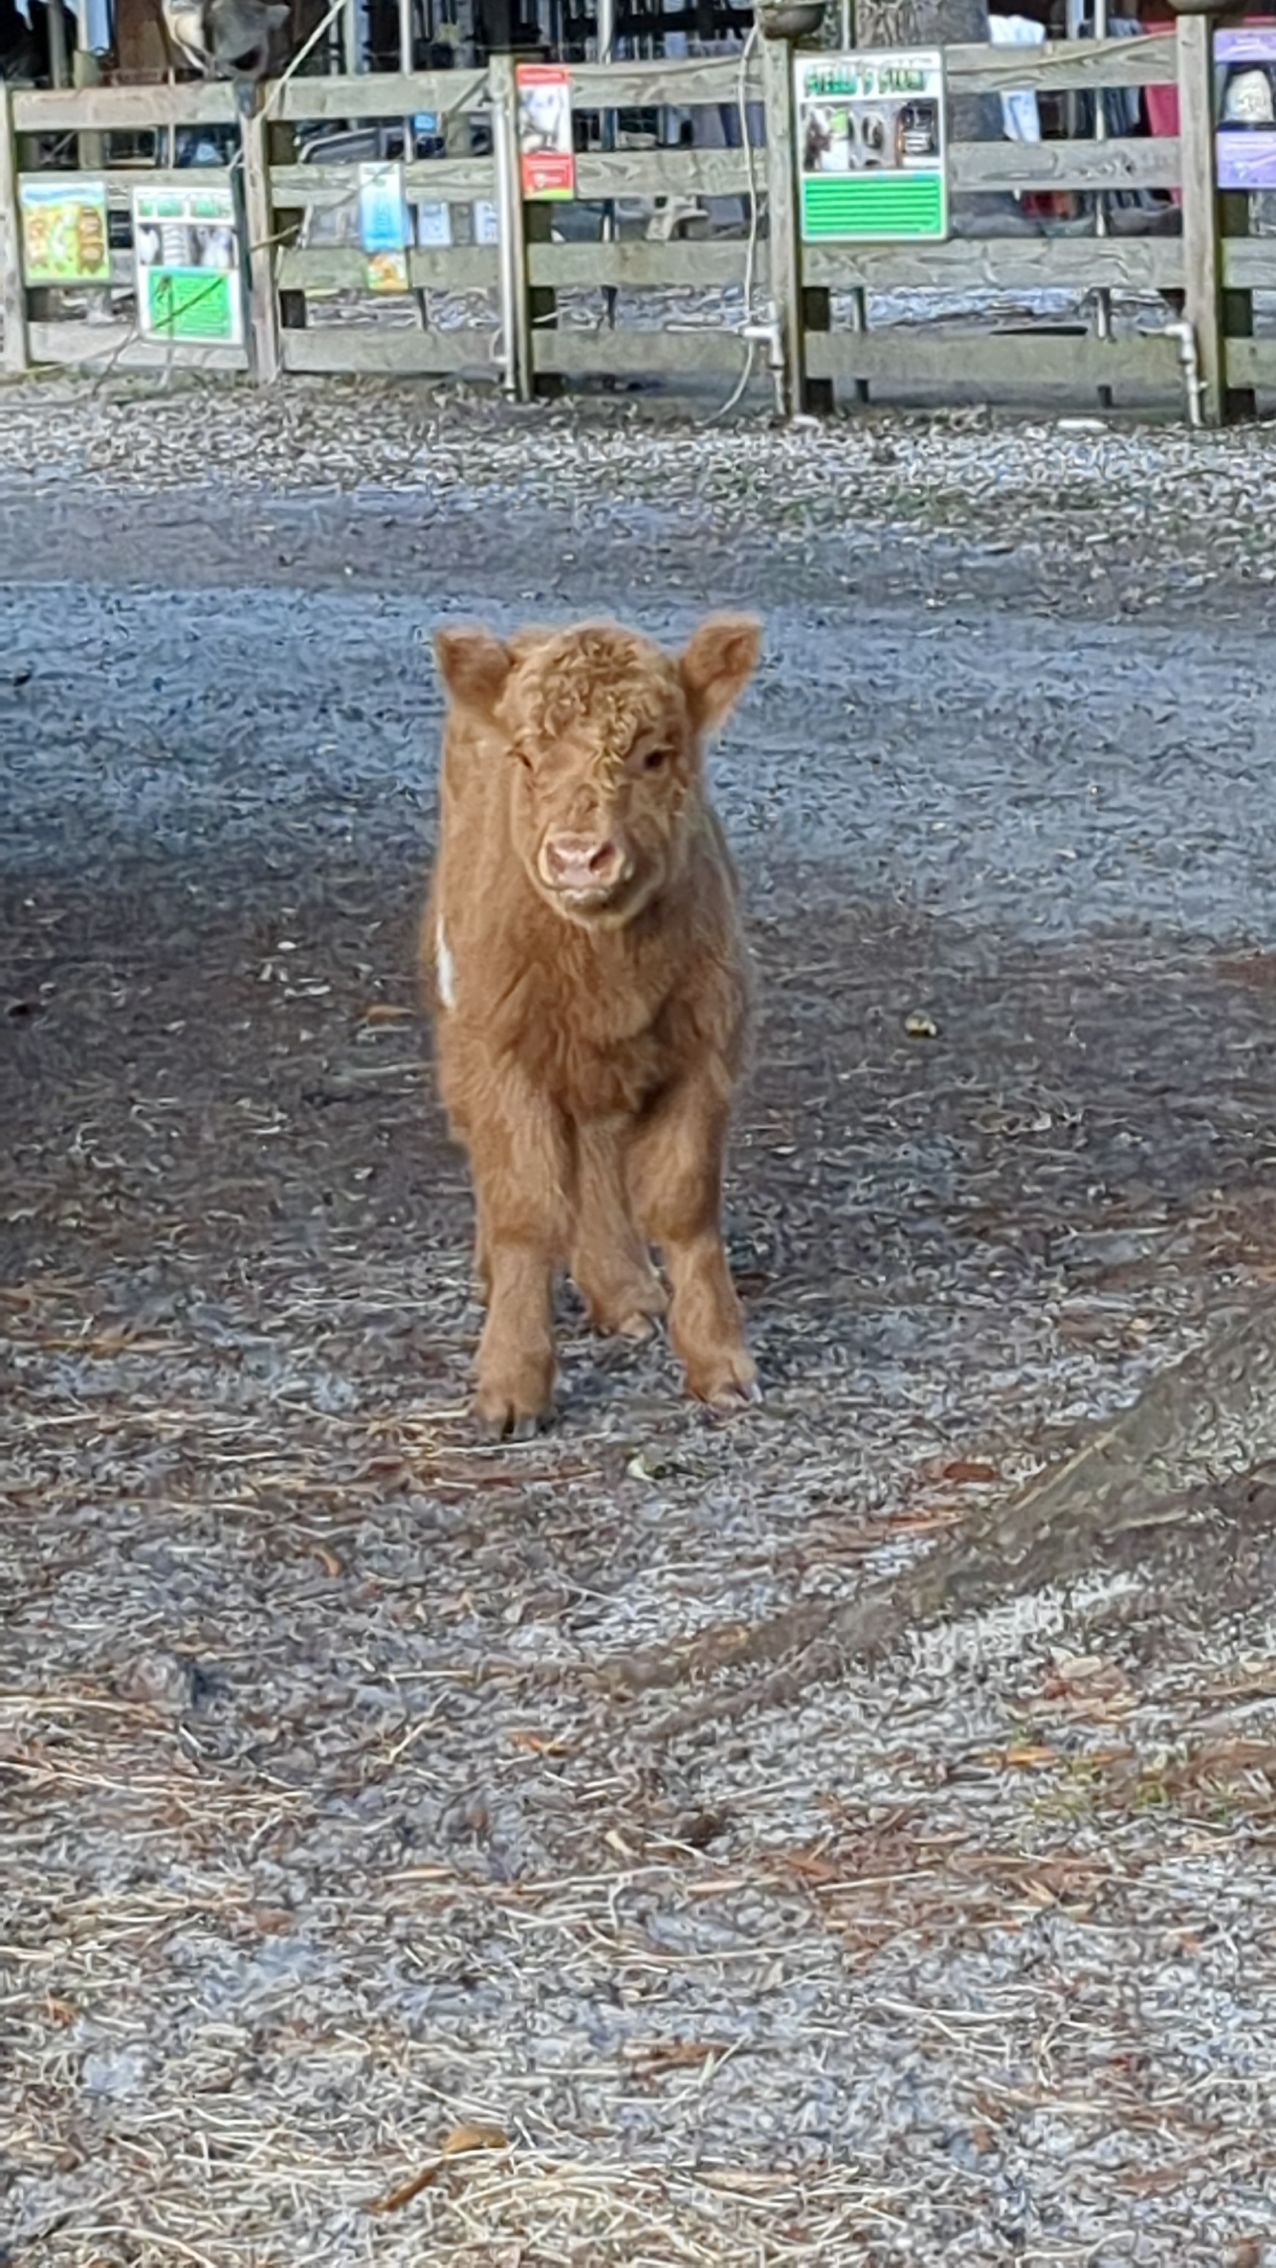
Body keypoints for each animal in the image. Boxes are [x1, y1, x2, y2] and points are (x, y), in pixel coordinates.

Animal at [424, 615, 762, 1439]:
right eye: (524, 755)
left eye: (656, 754)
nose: (579, 857)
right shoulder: (500, 1048)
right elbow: (526, 1204)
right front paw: (512, 1383)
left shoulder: (707, 1048)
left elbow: (684, 1201)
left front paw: (718, 1360)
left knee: (601, 1153)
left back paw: (626, 1291)